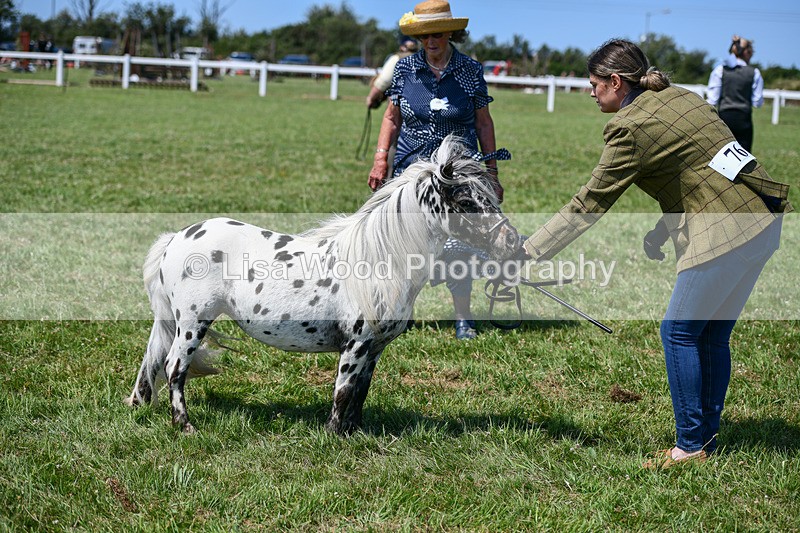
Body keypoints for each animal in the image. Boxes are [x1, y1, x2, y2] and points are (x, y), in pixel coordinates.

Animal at [125, 136, 520, 435]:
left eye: (491, 196)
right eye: (466, 201)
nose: (512, 242)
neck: (379, 262)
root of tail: (177, 238)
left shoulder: (374, 348)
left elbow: (360, 393)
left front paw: (355, 433)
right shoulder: (355, 344)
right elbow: (343, 392)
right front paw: (333, 436)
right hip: (193, 322)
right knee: (175, 368)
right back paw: (185, 426)